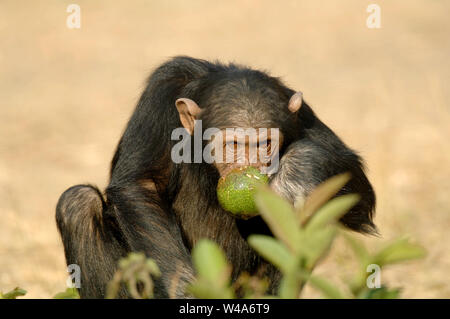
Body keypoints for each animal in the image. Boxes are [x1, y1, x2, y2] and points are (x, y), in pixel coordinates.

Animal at [54, 57, 374, 300]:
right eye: (233, 145)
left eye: (265, 144)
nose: (251, 165)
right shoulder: (159, 97)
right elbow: (139, 185)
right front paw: (182, 288)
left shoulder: (302, 115)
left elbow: (358, 190)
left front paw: (297, 174)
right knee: (77, 204)